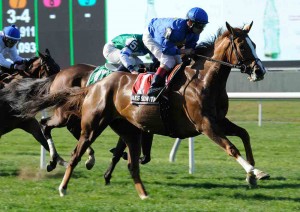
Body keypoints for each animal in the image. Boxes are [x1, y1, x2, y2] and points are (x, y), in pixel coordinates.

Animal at [18, 22, 268, 200]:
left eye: (254, 44)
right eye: (243, 46)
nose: (260, 71)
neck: (203, 80)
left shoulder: (218, 119)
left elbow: (244, 134)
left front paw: (252, 175)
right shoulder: (204, 123)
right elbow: (231, 146)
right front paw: (255, 172)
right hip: (76, 116)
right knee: (52, 129)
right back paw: (60, 168)